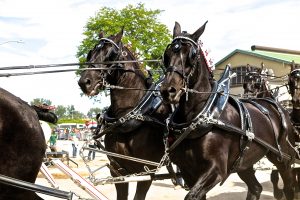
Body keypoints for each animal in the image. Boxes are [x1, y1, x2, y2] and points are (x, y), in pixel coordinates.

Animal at [159, 21, 296, 199]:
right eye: (167, 55)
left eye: (192, 55)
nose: (167, 90)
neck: (203, 114)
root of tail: (275, 105)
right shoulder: (188, 172)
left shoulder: (216, 170)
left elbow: (192, 195)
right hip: (244, 162)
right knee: (256, 188)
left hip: (281, 157)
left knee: (288, 186)